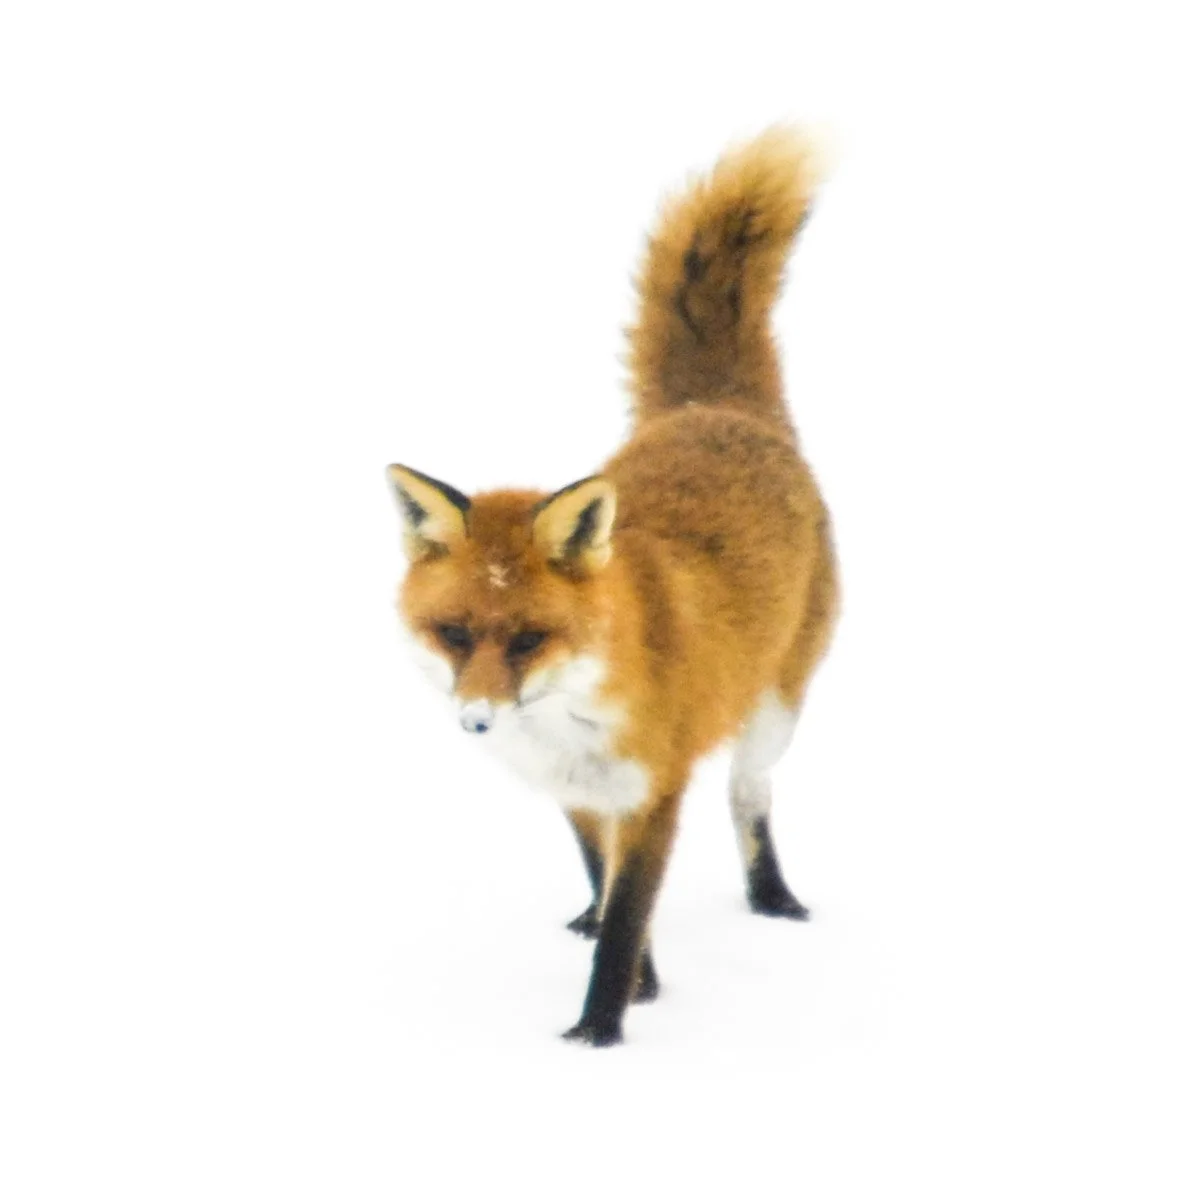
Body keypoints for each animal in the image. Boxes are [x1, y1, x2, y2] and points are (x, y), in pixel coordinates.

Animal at [387, 128, 838, 1047]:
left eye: (528, 638)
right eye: (455, 633)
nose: (476, 720)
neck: (570, 712)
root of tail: (715, 409)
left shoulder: (653, 792)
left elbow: (631, 912)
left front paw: (599, 1034)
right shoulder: (578, 796)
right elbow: (610, 889)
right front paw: (642, 987)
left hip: (774, 711)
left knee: (749, 793)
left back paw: (772, 897)